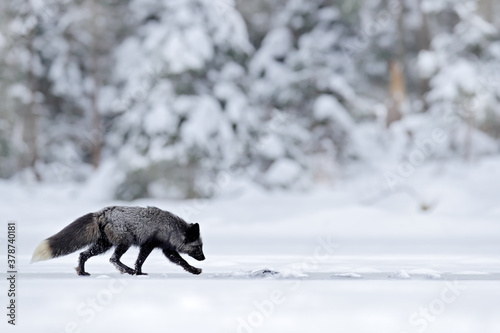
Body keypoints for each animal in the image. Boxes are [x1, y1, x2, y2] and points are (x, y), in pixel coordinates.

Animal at [31, 205, 205, 274]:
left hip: (103, 245)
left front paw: (139, 273)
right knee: (113, 259)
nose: (204, 258)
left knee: (83, 255)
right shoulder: (151, 245)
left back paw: (82, 272)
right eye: (198, 247)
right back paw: (127, 270)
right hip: (123, 243)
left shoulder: (164, 248)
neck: (171, 229)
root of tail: (102, 212)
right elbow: (181, 261)